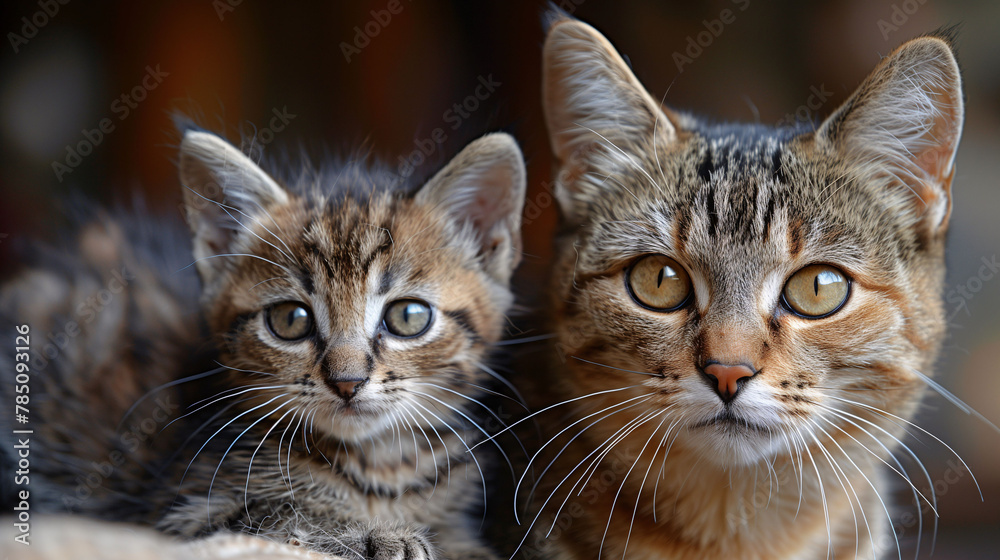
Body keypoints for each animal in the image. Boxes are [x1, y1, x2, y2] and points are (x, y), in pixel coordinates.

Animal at [0, 127, 528, 560]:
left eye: (408, 317)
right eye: (290, 320)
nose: (347, 382)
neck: (380, 464)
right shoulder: (178, 512)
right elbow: (280, 514)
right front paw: (378, 535)